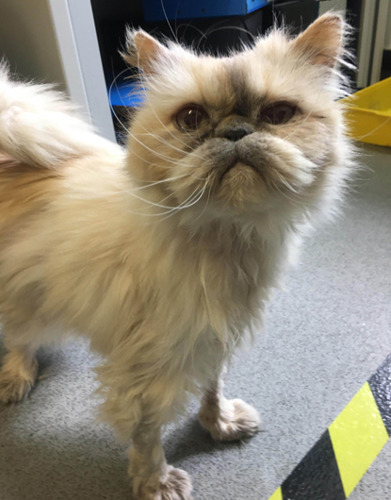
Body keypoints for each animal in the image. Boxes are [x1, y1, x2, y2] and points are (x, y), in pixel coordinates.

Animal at [0, 12, 354, 500]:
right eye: (191, 118)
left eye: (278, 115)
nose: (235, 133)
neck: (222, 237)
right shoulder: (146, 372)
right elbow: (147, 437)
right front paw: (157, 483)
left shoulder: (213, 339)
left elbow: (211, 388)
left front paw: (218, 425)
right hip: (25, 294)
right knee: (19, 336)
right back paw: (17, 377)